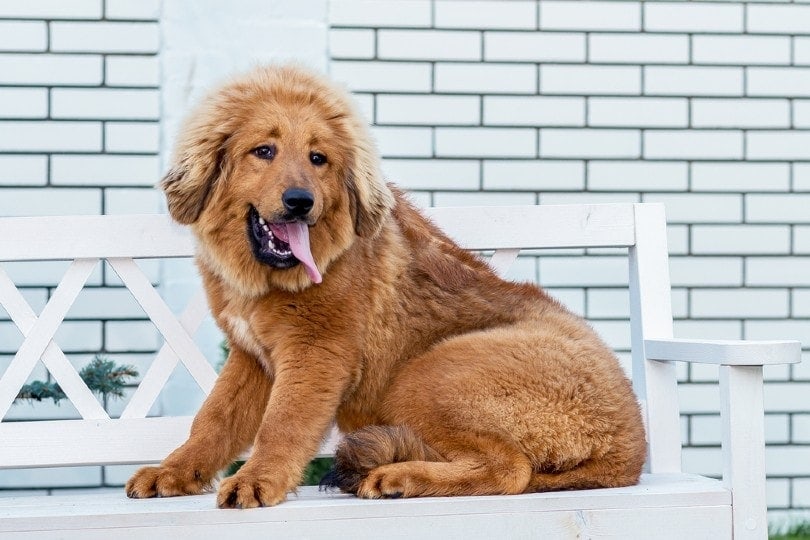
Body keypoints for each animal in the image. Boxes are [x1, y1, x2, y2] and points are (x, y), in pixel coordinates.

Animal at [124, 65, 644, 508]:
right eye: (264, 151)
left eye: (318, 159)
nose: (300, 202)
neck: (268, 280)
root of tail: (632, 450)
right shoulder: (252, 357)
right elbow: (212, 420)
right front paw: (176, 471)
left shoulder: (315, 354)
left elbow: (281, 423)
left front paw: (256, 480)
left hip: (432, 372)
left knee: (510, 468)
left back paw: (398, 476)